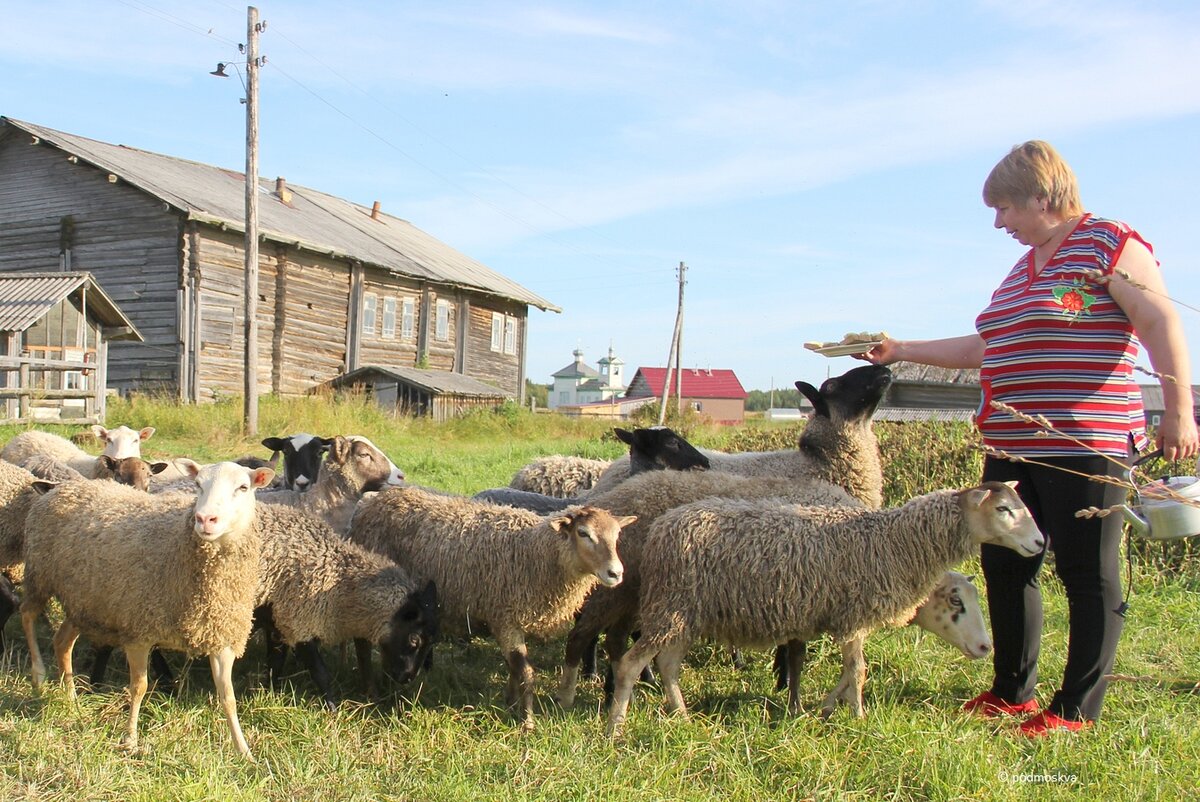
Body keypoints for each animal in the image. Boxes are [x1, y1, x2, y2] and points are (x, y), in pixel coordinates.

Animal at [18, 456, 273, 758]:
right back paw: (38, 675)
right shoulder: (139, 630)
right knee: (27, 615)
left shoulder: (219, 634)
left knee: (62, 641)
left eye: (243, 487)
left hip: (85, 601)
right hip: (39, 573)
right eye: (198, 485)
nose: (204, 519)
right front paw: (130, 739)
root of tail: (62, 488)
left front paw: (244, 750)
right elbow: (139, 687)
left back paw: (70, 698)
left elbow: (228, 696)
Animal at [254, 504, 441, 710]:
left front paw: (268, 694)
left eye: (432, 643)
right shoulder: (299, 623)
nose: (407, 678)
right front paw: (331, 708)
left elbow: (275, 664)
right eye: (414, 639)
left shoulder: (279, 625)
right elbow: (320, 672)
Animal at [345, 489, 633, 734]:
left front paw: (510, 703)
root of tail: (372, 501)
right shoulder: (505, 618)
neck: (534, 552)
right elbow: (524, 672)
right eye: (583, 533)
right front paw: (527, 721)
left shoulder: (511, 620)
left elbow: (514, 667)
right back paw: (371, 691)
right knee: (361, 642)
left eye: (617, 535)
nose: (616, 573)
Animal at [604, 480, 1046, 734]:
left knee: (667, 664)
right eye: (1004, 510)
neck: (893, 543)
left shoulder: (841, 618)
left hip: (685, 613)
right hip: (672, 607)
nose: (1041, 543)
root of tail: (662, 528)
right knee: (630, 664)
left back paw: (681, 717)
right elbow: (859, 670)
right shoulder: (854, 616)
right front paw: (859, 718)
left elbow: (844, 670)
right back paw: (616, 729)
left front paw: (824, 709)